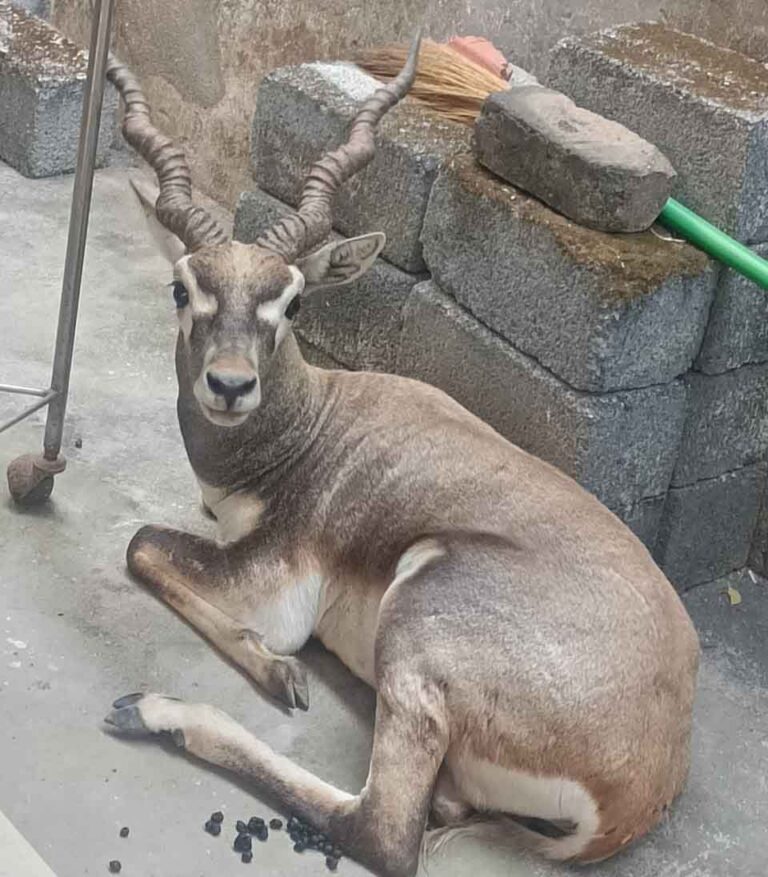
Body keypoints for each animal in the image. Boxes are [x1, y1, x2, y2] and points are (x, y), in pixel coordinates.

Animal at [102, 34, 700, 877]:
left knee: (383, 831)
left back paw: (156, 708)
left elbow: (141, 544)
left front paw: (278, 669)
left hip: (418, 624)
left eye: (292, 301)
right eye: (183, 288)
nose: (230, 384)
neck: (309, 428)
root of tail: (646, 781)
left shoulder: (274, 581)